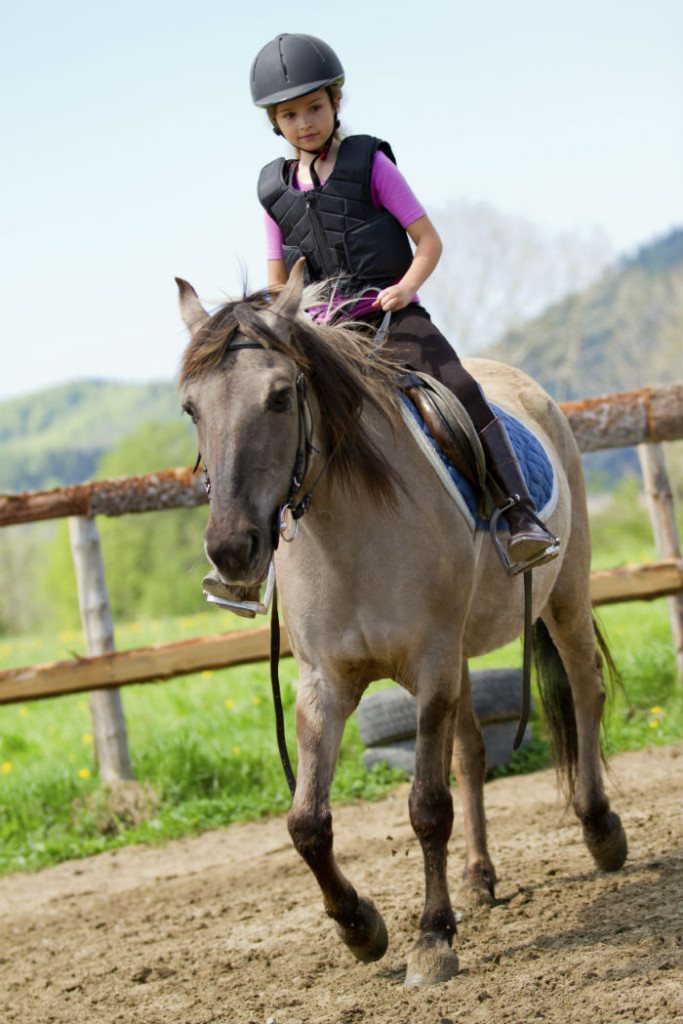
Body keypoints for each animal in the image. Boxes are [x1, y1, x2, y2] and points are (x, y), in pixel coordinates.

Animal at [176, 268, 626, 987]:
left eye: (280, 397)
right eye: (193, 408)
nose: (231, 551)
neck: (351, 530)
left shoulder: (430, 664)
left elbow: (426, 807)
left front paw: (433, 939)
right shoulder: (324, 684)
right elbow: (306, 822)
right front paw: (361, 927)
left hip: (564, 596)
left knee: (584, 692)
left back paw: (600, 830)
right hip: (466, 652)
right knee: (473, 751)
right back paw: (478, 878)